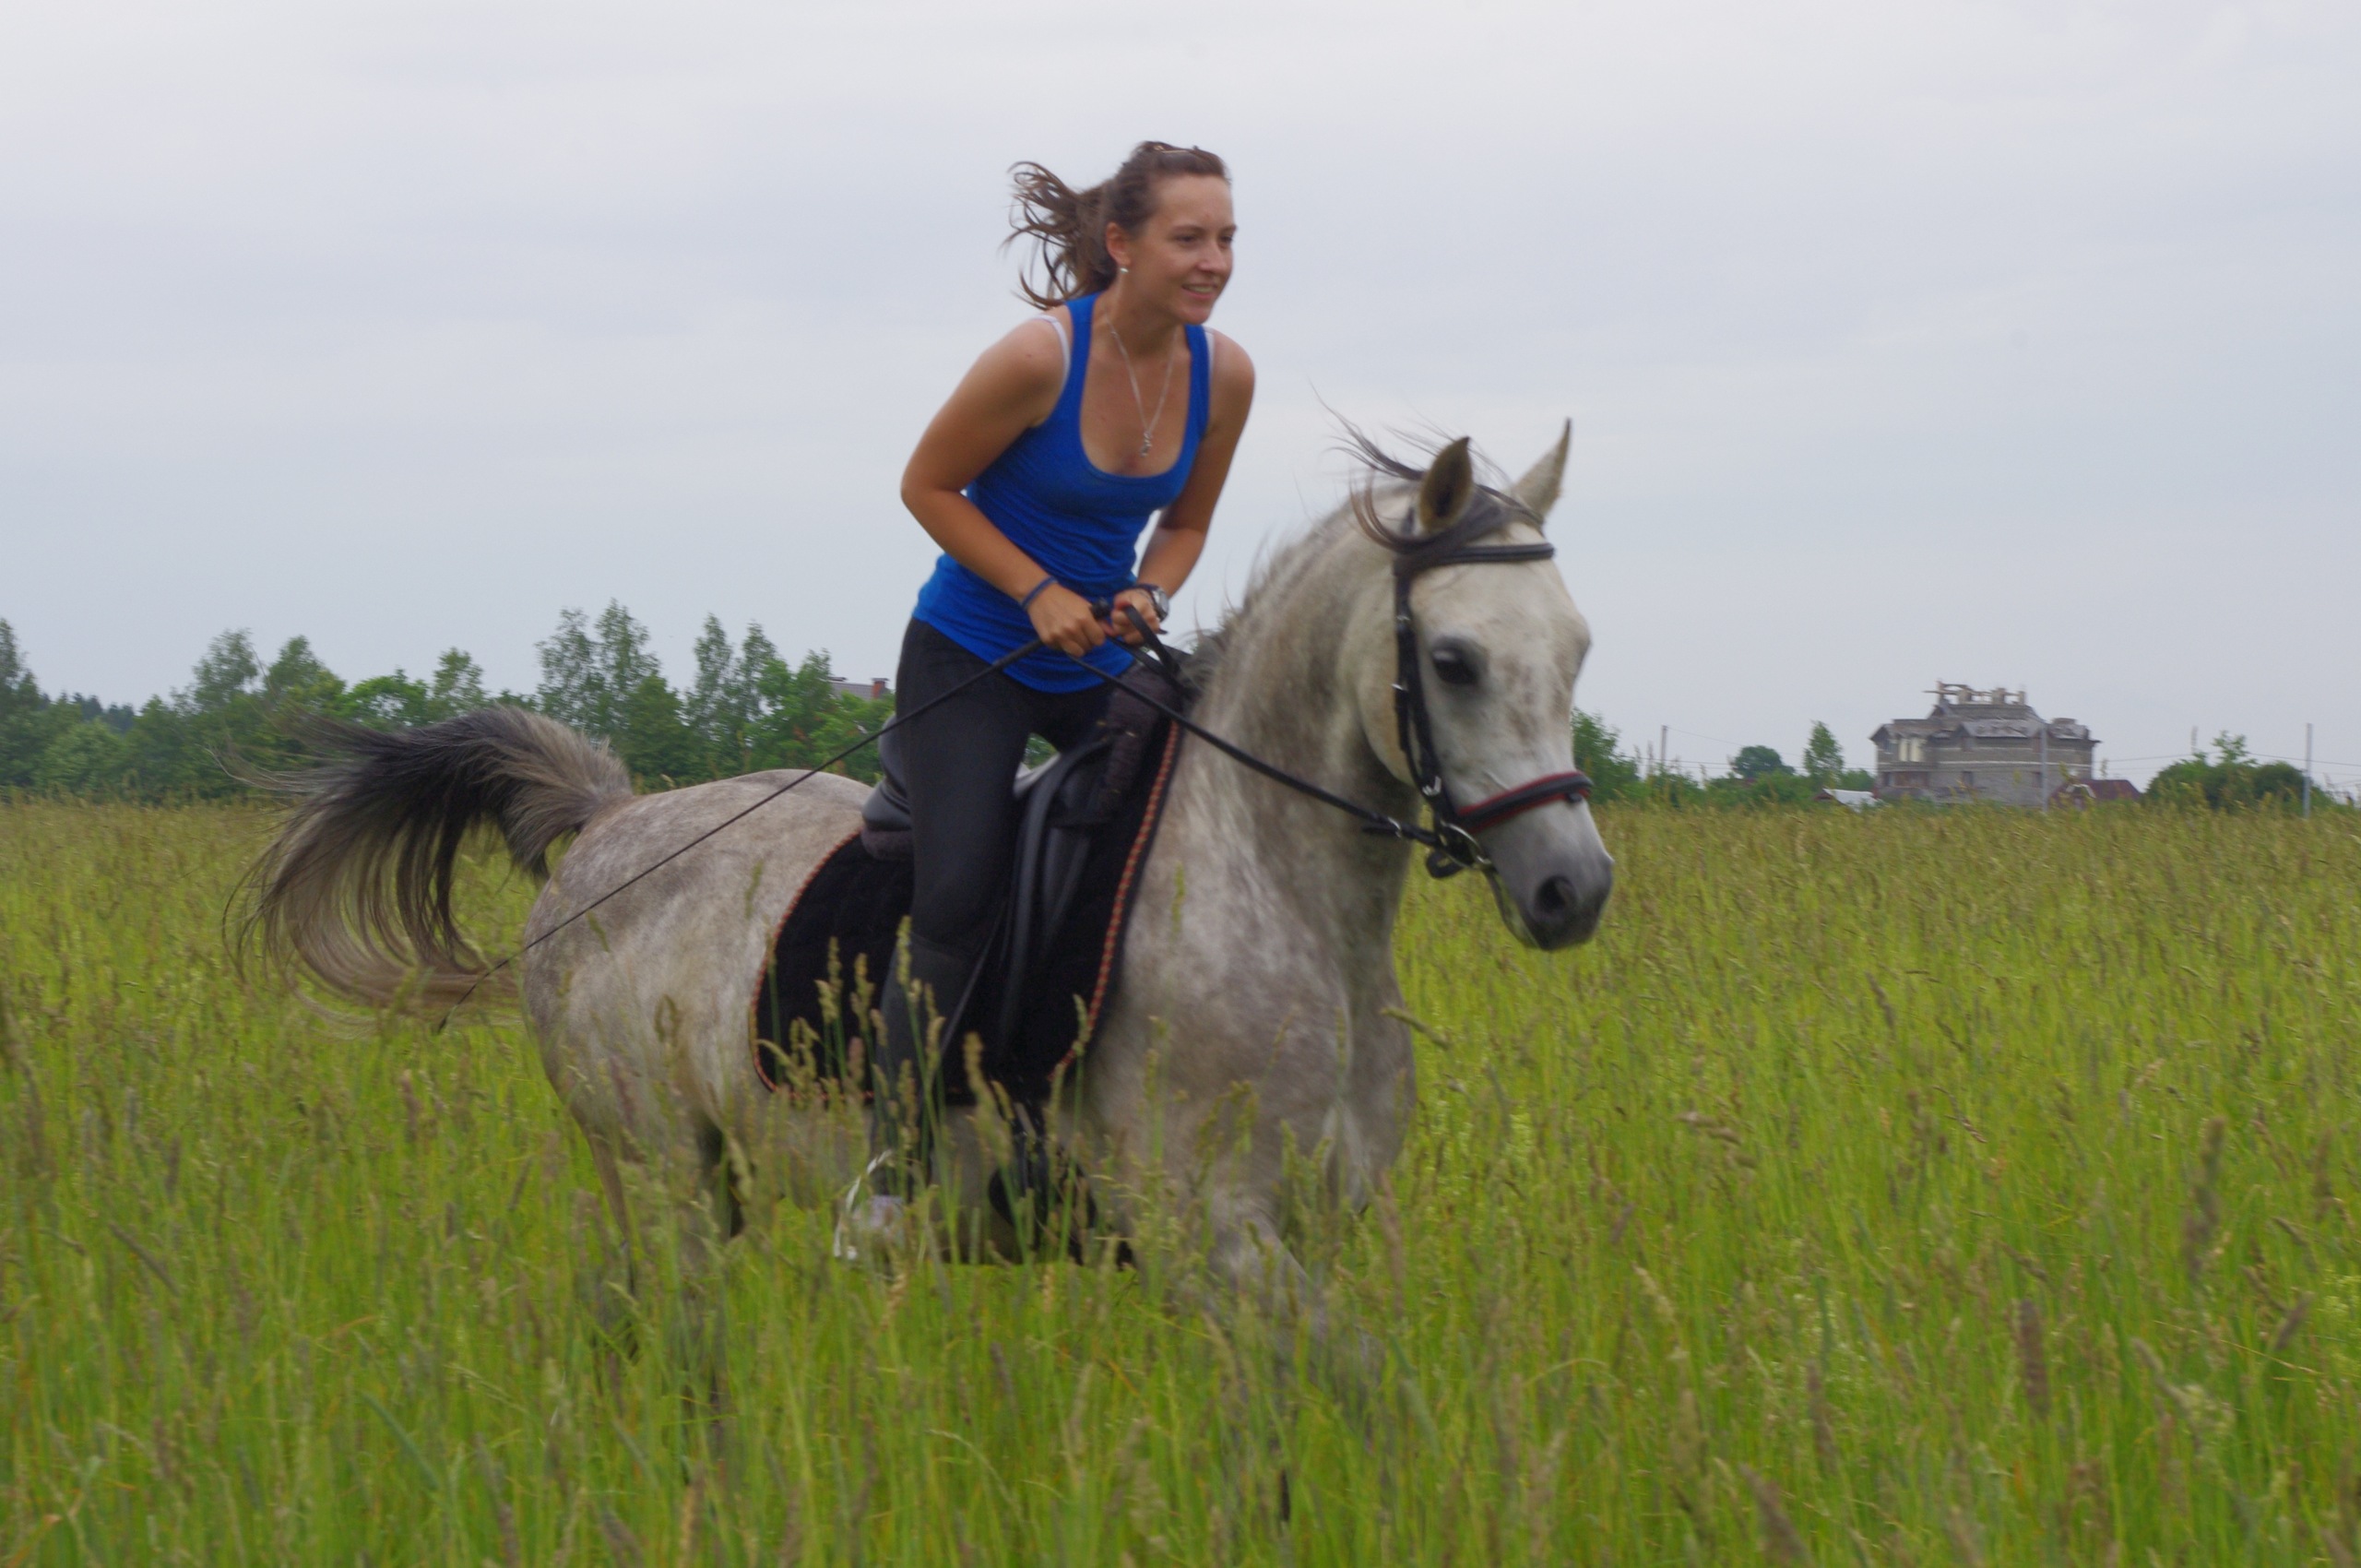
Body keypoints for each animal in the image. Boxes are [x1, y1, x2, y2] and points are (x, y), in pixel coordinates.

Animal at [245, 429, 1613, 1316]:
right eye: (1453, 659)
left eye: (1580, 648)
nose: (1573, 888)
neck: (1272, 893)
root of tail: (607, 823)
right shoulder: (1211, 1235)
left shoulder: (1307, 1234)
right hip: (658, 1172)